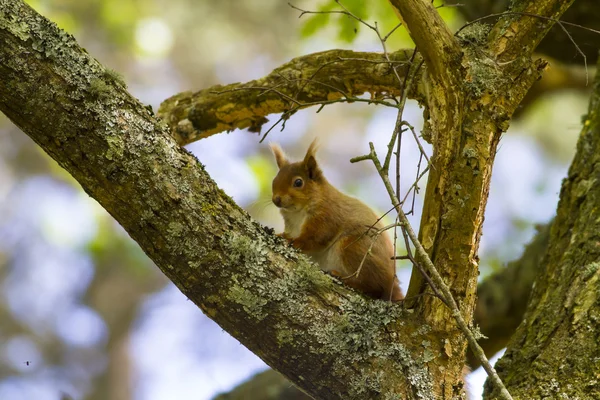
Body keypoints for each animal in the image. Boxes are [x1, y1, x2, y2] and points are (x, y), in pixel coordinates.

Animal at [270, 139, 404, 302]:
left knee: (375, 287)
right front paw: (282, 235)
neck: (297, 212)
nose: (276, 199)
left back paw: (347, 280)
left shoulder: (327, 216)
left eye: (298, 182)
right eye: (274, 180)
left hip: (353, 247)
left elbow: (315, 238)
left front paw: (293, 241)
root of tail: (392, 283)